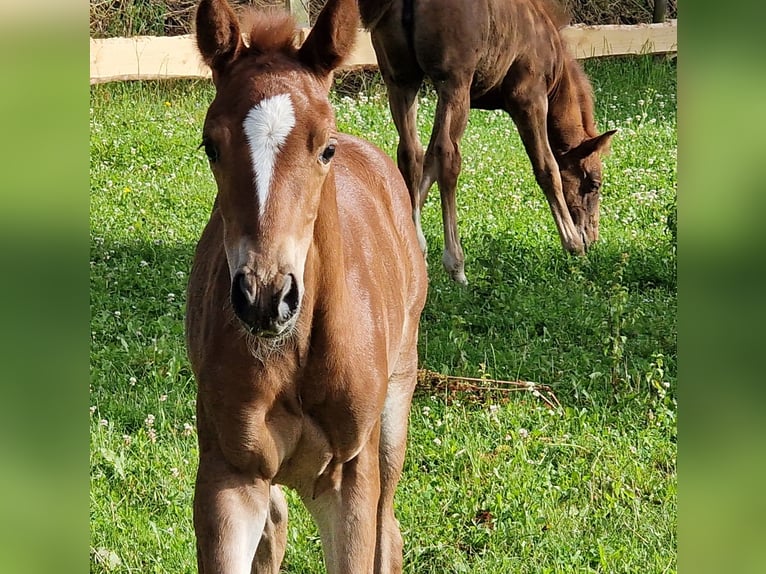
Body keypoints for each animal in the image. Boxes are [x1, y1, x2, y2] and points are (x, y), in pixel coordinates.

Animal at [184, 1, 428, 574]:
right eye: (211, 146)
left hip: (393, 414)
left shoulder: (349, 480)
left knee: (389, 529)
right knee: (276, 527)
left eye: (326, 149)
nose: (266, 298)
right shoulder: (228, 476)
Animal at [360, 0, 616, 282]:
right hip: (454, 83)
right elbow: (547, 168)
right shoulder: (529, 98)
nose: (591, 238)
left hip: (401, 81)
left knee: (410, 154)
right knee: (447, 155)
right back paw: (456, 264)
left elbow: (427, 164)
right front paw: (573, 244)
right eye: (594, 184)